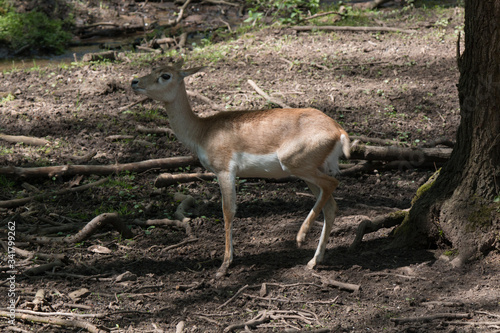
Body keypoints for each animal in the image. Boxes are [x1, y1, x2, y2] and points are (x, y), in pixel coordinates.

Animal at [133, 60, 352, 278]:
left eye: (166, 75)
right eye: (153, 68)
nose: (135, 82)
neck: (202, 131)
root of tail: (338, 130)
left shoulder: (224, 171)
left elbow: (228, 211)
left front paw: (224, 266)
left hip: (295, 164)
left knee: (332, 183)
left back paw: (300, 237)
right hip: (308, 171)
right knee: (330, 205)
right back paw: (313, 261)